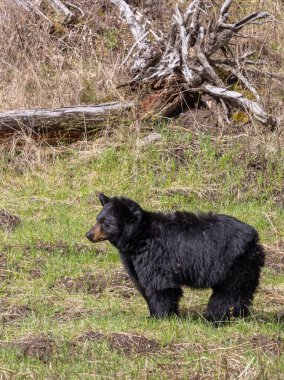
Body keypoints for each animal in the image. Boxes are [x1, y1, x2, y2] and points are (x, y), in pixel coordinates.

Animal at [85, 194, 266, 322]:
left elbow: (160, 286)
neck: (138, 238)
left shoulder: (156, 255)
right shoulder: (133, 260)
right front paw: (151, 314)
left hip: (233, 264)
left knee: (229, 292)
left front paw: (161, 316)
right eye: (97, 219)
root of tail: (254, 236)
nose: (89, 234)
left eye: (105, 222)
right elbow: (142, 284)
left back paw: (216, 318)